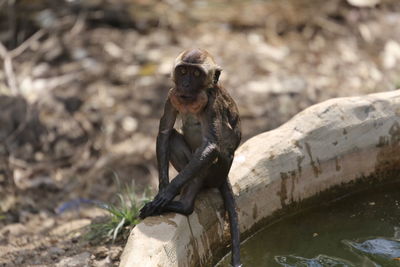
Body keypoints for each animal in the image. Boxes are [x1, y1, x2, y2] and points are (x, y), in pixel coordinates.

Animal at [139, 48, 242, 267]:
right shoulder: (171, 94)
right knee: (173, 137)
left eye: (196, 74)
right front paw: (164, 188)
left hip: (216, 175)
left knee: (212, 156)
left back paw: (183, 205)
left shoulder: (212, 104)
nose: (185, 84)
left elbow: (210, 146)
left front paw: (167, 195)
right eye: (183, 71)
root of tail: (224, 177)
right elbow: (164, 132)